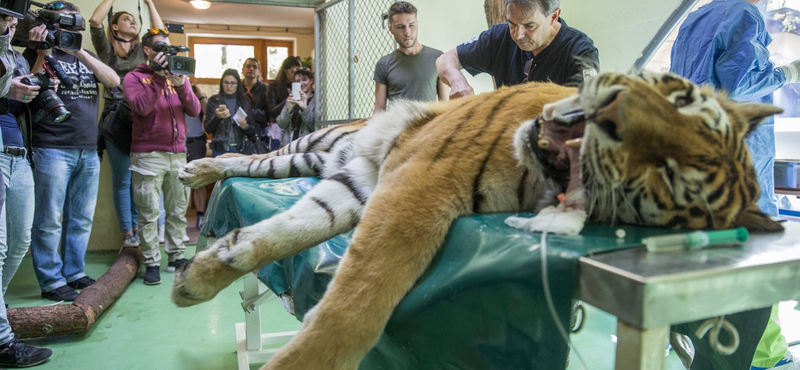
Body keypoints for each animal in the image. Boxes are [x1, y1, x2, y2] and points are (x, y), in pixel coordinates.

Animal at [170, 71, 780, 368]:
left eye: (672, 175)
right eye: (677, 101)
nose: (616, 116)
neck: (533, 180)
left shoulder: (389, 188)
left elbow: (309, 258)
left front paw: (205, 271)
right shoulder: (420, 178)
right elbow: (357, 301)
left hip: (331, 170)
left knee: (273, 203)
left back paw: (196, 274)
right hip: (307, 148)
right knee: (246, 161)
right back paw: (196, 171)